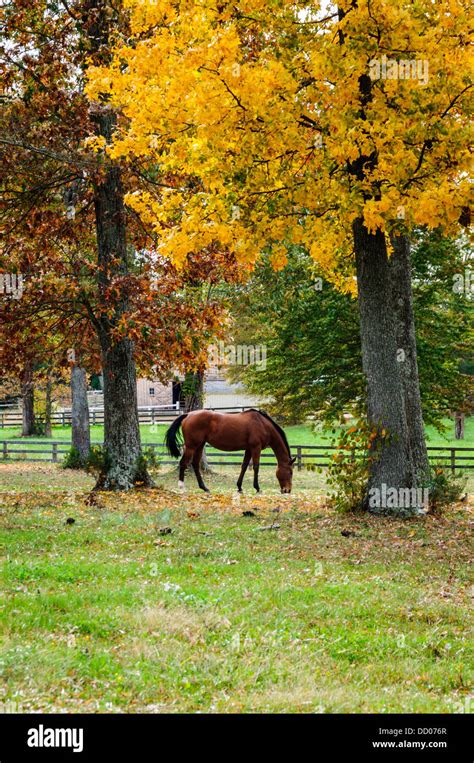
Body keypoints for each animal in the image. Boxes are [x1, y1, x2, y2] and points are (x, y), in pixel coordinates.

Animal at [165, 408, 294, 492]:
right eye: (290, 472)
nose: (287, 490)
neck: (262, 424)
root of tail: (188, 414)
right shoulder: (255, 448)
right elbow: (256, 467)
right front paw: (257, 488)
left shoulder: (249, 449)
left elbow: (244, 466)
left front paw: (239, 487)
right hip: (191, 446)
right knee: (183, 463)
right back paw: (182, 487)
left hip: (200, 445)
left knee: (195, 464)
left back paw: (204, 487)